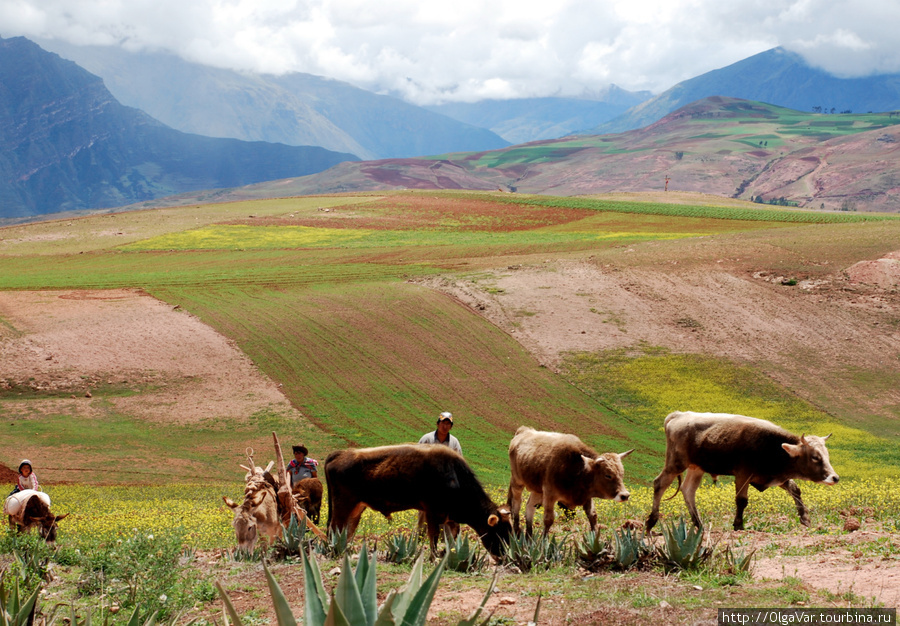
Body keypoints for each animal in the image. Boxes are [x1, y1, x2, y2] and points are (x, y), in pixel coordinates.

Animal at [324, 442, 510, 552]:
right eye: (500, 533)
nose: (506, 557)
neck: (454, 475)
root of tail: (341, 453)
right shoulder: (433, 511)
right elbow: (433, 535)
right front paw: (433, 557)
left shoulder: (447, 516)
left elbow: (451, 536)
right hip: (342, 504)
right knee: (335, 527)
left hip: (356, 507)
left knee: (347, 530)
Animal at [644, 412, 840, 528]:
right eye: (815, 457)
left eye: (826, 454)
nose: (834, 477)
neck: (771, 446)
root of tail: (678, 415)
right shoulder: (743, 474)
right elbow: (741, 500)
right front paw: (738, 524)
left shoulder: (773, 476)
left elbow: (795, 489)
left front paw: (805, 518)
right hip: (675, 463)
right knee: (659, 484)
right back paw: (651, 521)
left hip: (696, 467)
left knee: (688, 490)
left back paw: (698, 524)